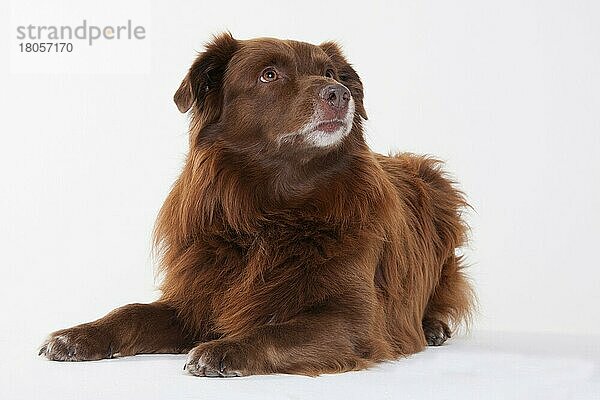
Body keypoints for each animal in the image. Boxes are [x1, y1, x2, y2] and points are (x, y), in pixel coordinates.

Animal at [39, 32, 476, 376]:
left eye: (331, 74)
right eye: (269, 75)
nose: (340, 93)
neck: (273, 208)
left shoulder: (357, 320)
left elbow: (278, 329)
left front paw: (225, 349)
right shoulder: (196, 298)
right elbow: (130, 312)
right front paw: (78, 336)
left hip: (437, 193)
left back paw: (433, 326)